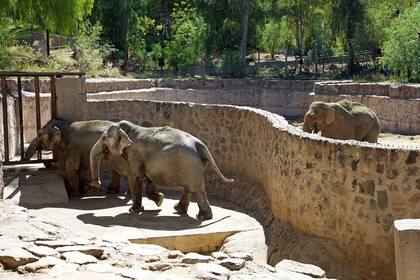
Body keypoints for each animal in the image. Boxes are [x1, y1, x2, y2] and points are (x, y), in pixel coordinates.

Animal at [23, 118, 163, 206]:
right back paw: (113, 192)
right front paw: (82, 190)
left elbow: (72, 167)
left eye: (39, 134)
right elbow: (80, 168)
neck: (66, 126)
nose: (47, 163)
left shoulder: (73, 148)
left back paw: (127, 195)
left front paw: (74, 194)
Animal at [89, 120, 235, 221]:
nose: (97, 184)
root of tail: (201, 145)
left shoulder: (134, 155)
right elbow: (150, 178)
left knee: (197, 189)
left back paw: (202, 217)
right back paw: (179, 209)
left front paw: (133, 210)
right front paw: (160, 200)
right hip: (193, 165)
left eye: (103, 139)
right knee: (189, 187)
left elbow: (136, 178)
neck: (126, 129)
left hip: (189, 164)